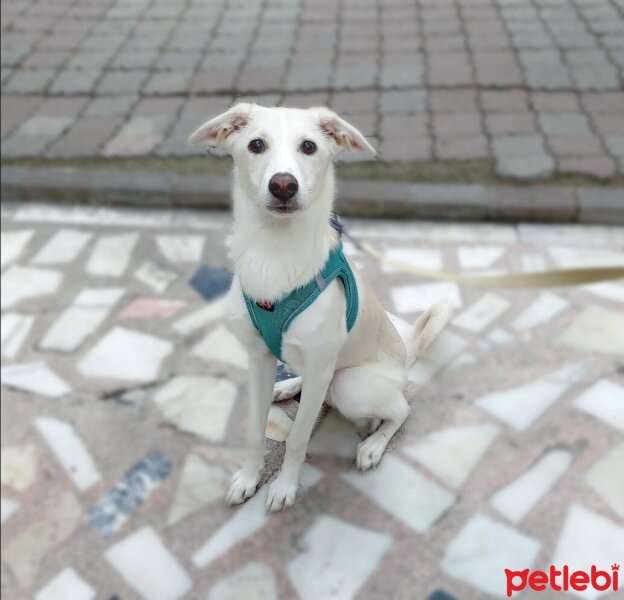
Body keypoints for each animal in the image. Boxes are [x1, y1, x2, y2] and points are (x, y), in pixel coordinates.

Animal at [188, 103, 450, 510]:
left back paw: (373, 445)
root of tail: (405, 358)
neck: (274, 254)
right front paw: (248, 478)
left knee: (399, 409)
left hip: (350, 384)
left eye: (308, 146)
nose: (283, 185)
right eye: (256, 144)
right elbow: (255, 431)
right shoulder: (258, 360)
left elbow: (297, 438)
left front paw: (284, 487)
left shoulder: (321, 365)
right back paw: (287, 386)